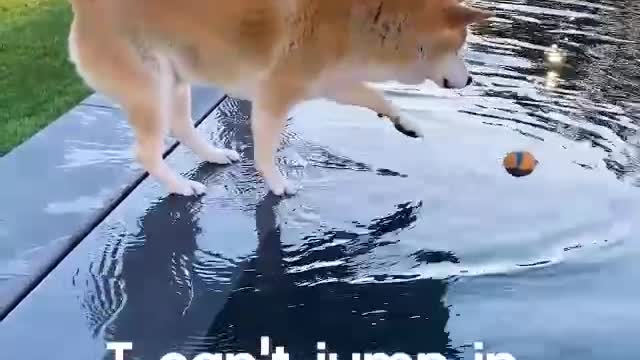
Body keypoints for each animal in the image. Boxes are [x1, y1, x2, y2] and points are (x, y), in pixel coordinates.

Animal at [66, 0, 490, 197]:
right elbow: (266, 150)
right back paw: (180, 186)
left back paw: (213, 155)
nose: (470, 79)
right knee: (146, 153)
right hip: (152, 89)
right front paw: (275, 183)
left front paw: (407, 123)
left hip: (177, 81)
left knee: (182, 126)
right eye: (461, 46)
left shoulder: (331, 82)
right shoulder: (275, 94)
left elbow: (377, 97)